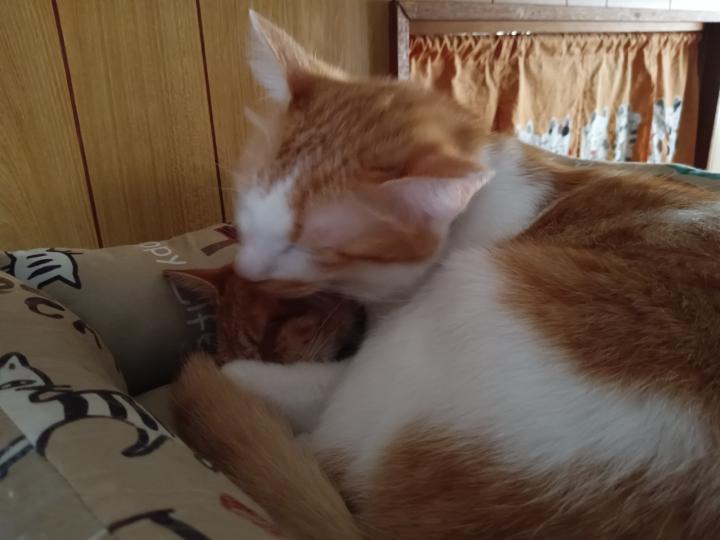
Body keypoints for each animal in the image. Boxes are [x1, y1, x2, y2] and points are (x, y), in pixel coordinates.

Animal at [172, 11, 720, 540]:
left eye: (305, 247)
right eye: (246, 215)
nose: (248, 269)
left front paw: (237, 368)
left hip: (468, 299)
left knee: (325, 439)